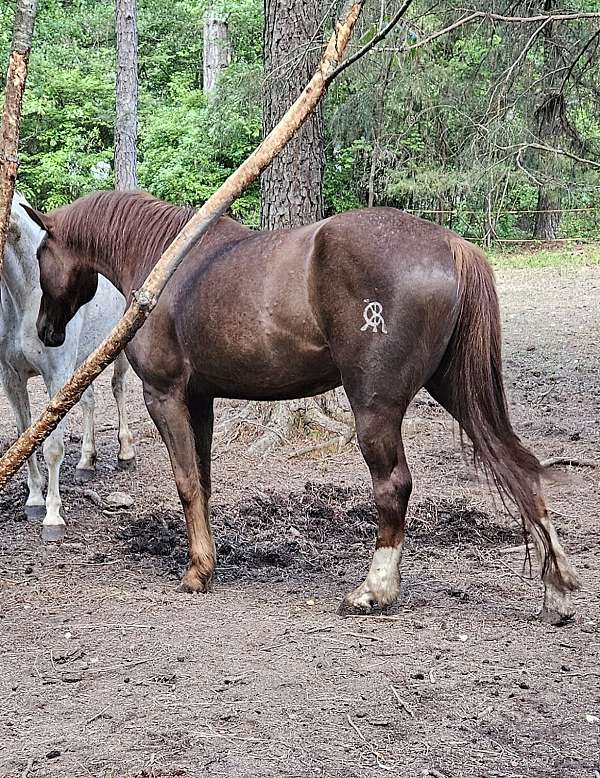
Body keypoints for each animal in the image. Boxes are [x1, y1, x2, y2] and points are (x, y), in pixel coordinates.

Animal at [0, 192, 135, 540]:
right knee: (89, 401)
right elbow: (25, 436)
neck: (26, 294)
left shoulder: (56, 376)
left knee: (118, 389)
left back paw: (125, 453)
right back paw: (87, 462)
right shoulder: (12, 378)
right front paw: (34, 500)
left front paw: (52, 517)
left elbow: (53, 446)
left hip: (120, 348)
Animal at [21, 191, 580, 620]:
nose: (45, 331)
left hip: (375, 407)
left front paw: (198, 571)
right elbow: (202, 480)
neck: (166, 262)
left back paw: (374, 591)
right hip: (459, 390)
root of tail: (451, 246)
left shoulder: (166, 397)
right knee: (518, 466)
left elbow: (185, 483)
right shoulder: (200, 401)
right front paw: (210, 558)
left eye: (40, 254)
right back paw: (557, 589)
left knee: (394, 486)